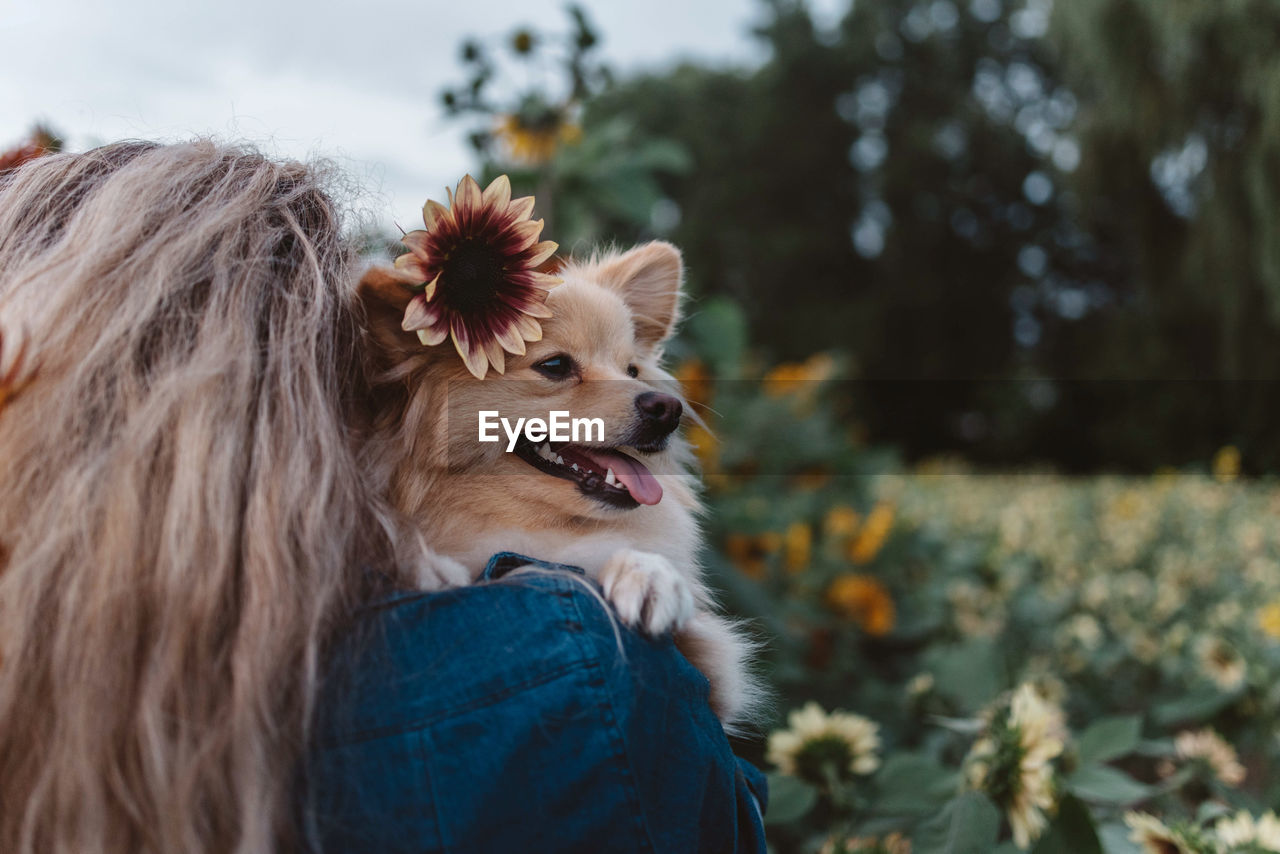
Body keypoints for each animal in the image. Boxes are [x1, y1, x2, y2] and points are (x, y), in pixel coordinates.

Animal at [358, 243, 757, 732]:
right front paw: (423, 565)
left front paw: (650, 575)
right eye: (554, 366)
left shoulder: (714, 670)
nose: (668, 408)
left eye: (632, 371)